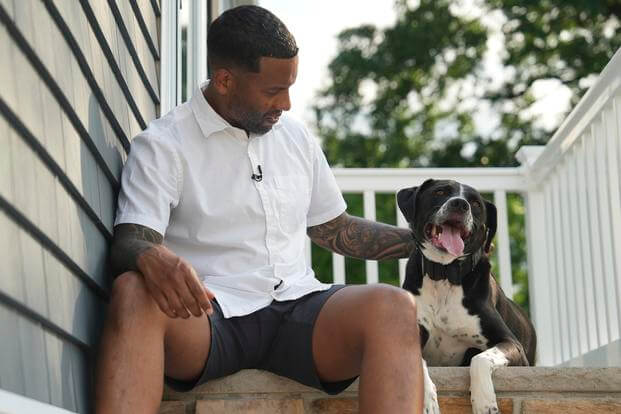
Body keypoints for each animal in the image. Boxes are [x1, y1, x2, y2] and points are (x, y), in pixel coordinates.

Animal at [398, 179, 536, 414]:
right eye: (440, 191)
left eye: (476, 203)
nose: (460, 204)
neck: (444, 273)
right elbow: (415, 359)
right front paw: (427, 399)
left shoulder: (511, 344)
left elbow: (480, 358)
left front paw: (484, 402)